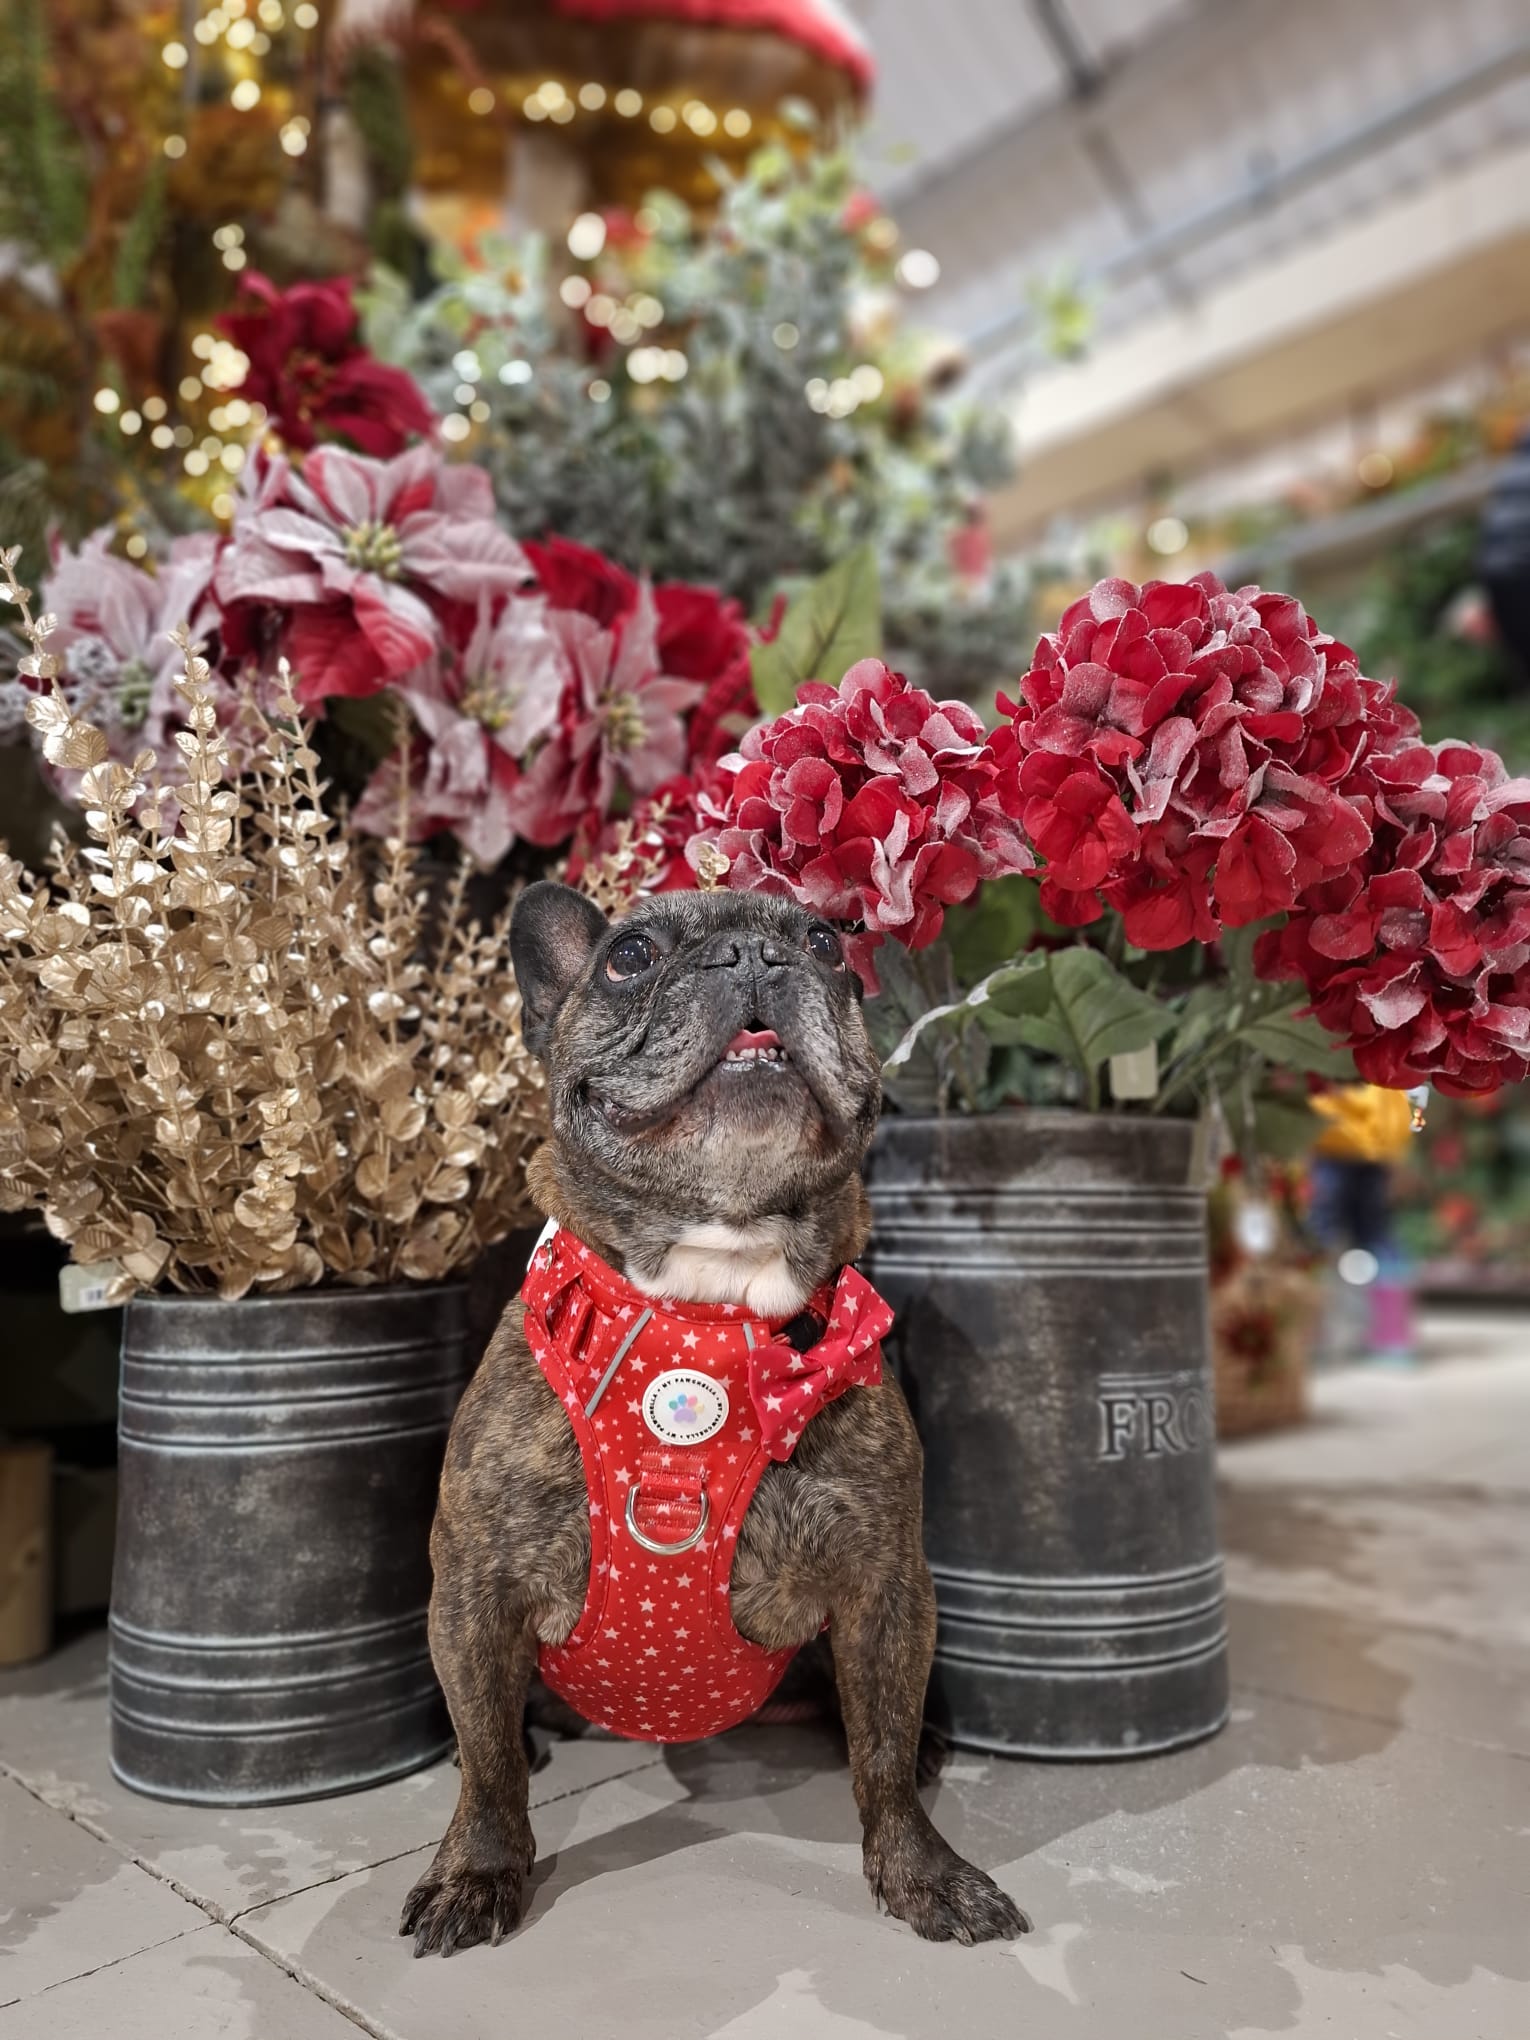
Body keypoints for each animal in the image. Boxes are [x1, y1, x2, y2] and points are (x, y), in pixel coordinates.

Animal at [402, 882, 1029, 1953]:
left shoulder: (886, 1590)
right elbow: (485, 1763)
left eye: (824, 943)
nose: (752, 956)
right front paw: (478, 1870)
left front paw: (923, 1873)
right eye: (628, 956)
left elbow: (885, 1759)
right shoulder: (474, 1592)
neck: (708, 1303)